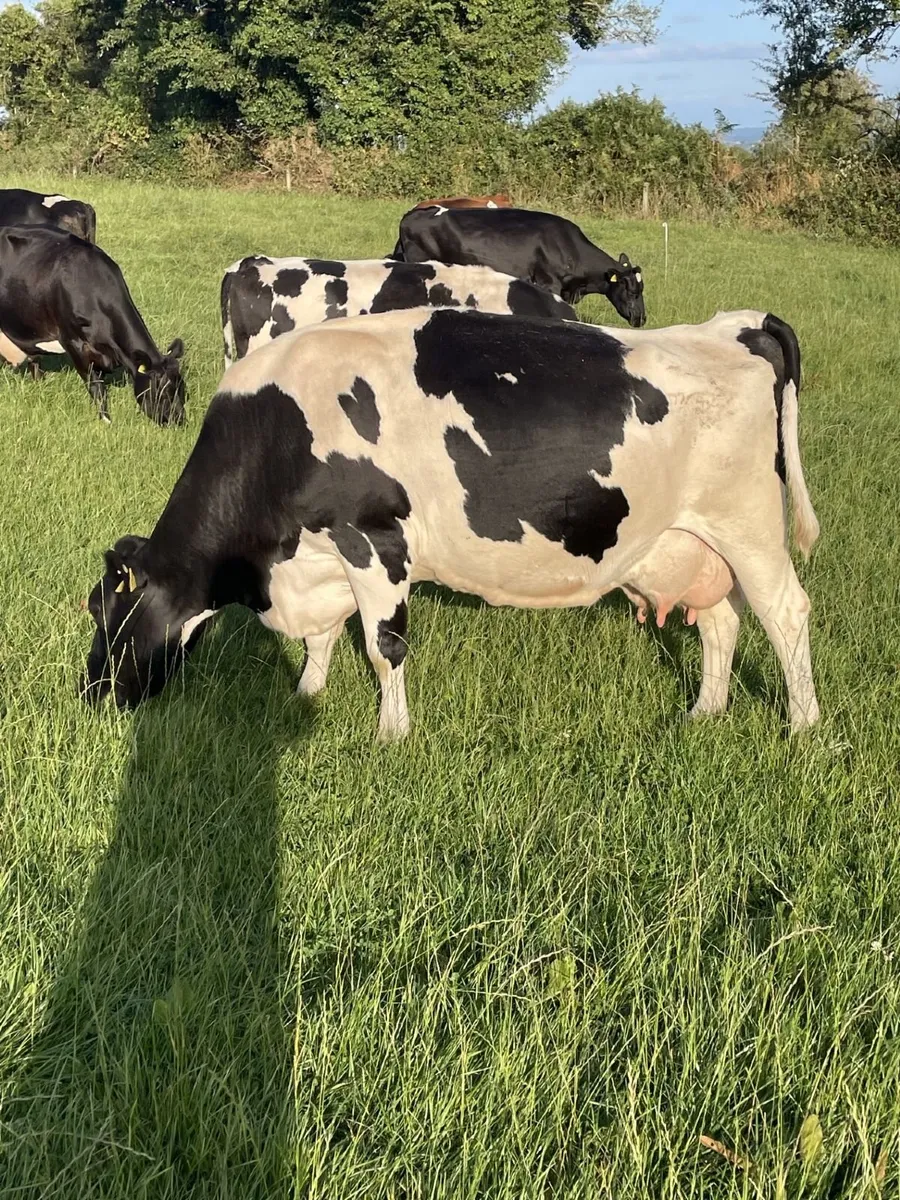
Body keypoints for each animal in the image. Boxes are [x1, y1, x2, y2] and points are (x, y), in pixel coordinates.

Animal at [0, 225, 185, 424]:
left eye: (180, 387)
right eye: (159, 388)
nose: (178, 419)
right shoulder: (73, 343)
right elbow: (96, 387)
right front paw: (106, 421)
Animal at [82, 306, 820, 742]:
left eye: (107, 610)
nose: (92, 695)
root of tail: (734, 326)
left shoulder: (374, 539)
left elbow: (383, 646)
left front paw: (391, 734)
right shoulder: (320, 560)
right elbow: (322, 639)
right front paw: (306, 693)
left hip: (748, 524)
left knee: (784, 613)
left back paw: (803, 726)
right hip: (691, 542)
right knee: (721, 621)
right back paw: (706, 710)